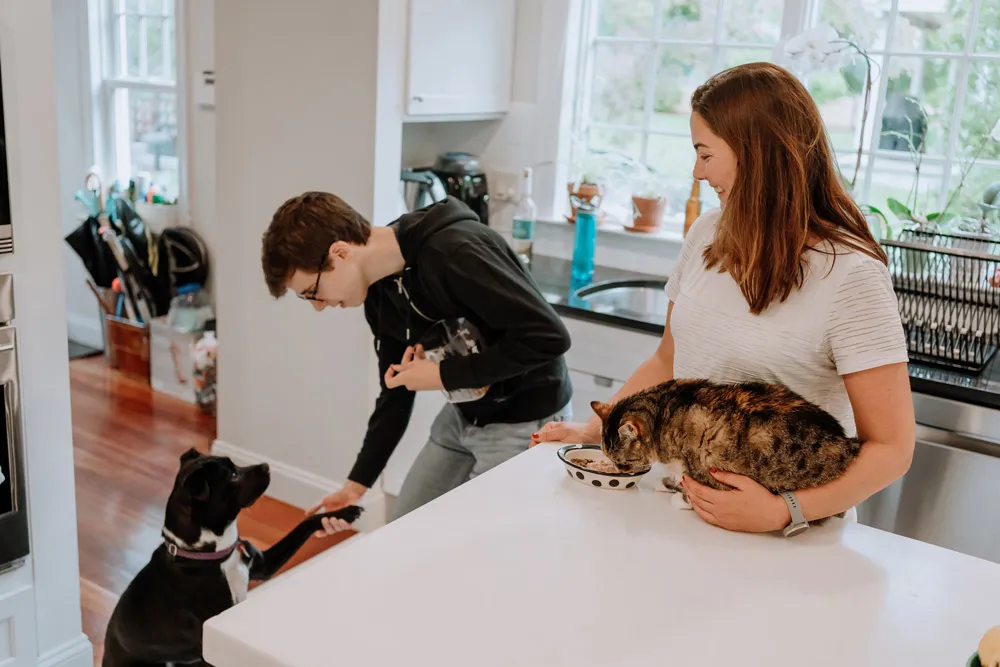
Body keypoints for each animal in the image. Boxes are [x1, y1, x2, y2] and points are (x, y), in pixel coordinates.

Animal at [101, 448, 366, 667]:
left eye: (235, 465)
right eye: (233, 476)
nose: (266, 465)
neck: (210, 555)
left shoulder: (262, 565)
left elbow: (306, 522)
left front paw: (344, 512)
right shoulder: (207, 643)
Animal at [588, 380, 864, 512]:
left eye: (623, 463)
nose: (620, 472)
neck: (665, 412)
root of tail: (847, 442)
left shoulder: (701, 464)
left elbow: (690, 485)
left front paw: (680, 498)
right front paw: (668, 484)